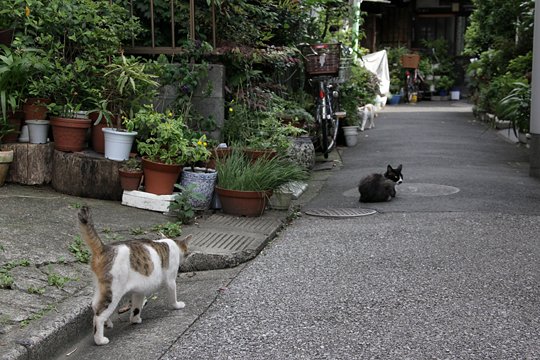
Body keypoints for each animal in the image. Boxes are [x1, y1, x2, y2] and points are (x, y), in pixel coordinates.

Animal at [77, 205, 192, 346]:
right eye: (187, 252)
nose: (187, 258)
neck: (171, 243)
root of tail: (104, 248)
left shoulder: (139, 290)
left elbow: (136, 307)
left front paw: (135, 319)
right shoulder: (170, 280)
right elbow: (173, 295)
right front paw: (177, 305)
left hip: (100, 288)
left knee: (95, 305)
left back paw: (108, 323)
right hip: (113, 291)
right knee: (99, 315)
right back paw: (100, 339)